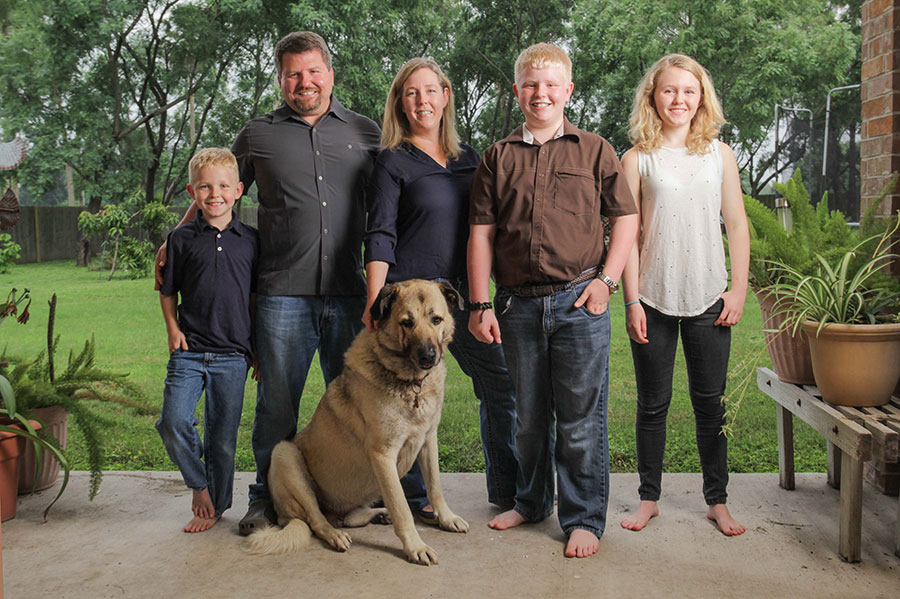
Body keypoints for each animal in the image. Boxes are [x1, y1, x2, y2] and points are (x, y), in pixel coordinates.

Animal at [246, 278, 472, 564]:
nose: (429, 356)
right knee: (316, 521)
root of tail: (286, 518)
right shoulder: (383, 455)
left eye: (436, 319)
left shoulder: (428, 442)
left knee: (352, 518)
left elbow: (435, 487)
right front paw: (415, 546)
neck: (410, 384)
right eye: (406, 322)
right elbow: (401, 507)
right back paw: (335, 535)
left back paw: (377, 514)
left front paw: (447, 518)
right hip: (285, 455)